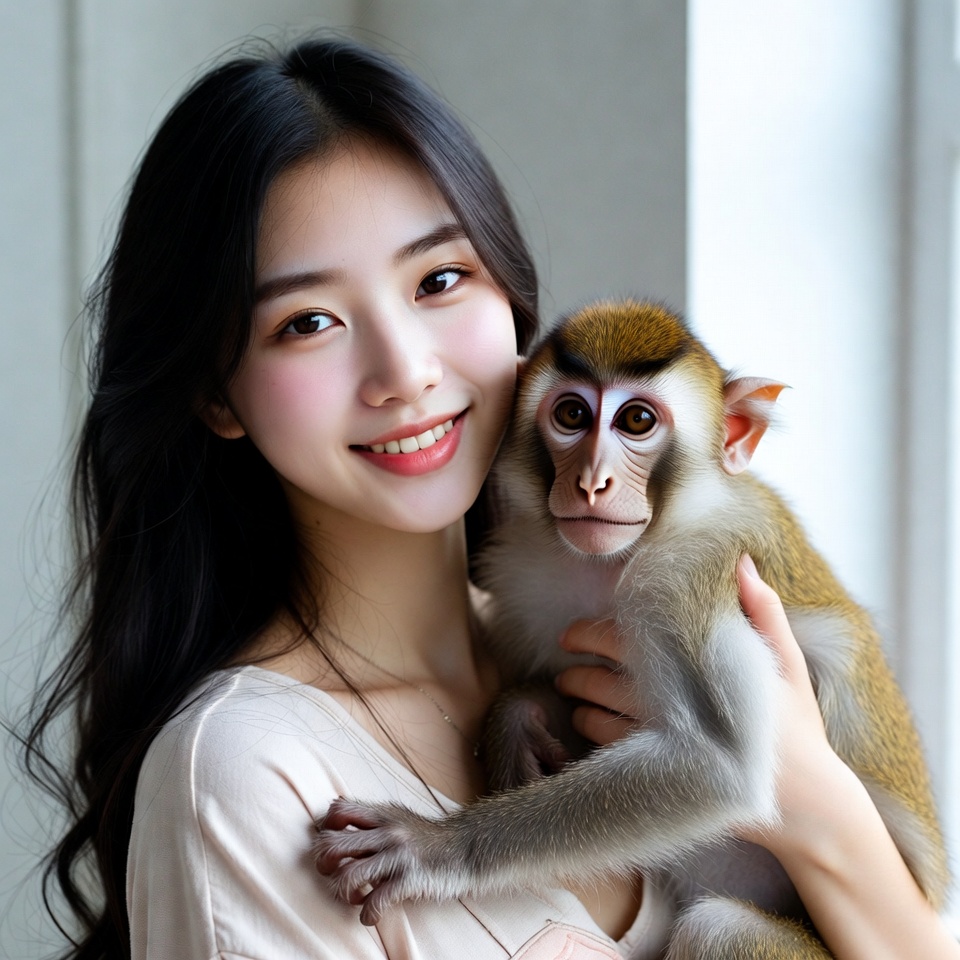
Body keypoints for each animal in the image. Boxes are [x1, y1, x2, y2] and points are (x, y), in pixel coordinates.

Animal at [315, 300, 949, 958]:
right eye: (571, 414)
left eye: (637, 420)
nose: (592, 481)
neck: (611, 563)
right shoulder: (521, 576)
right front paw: (516, 721)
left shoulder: (686, 572)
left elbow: (715, 762)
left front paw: (436, 847)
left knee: (718, 926)